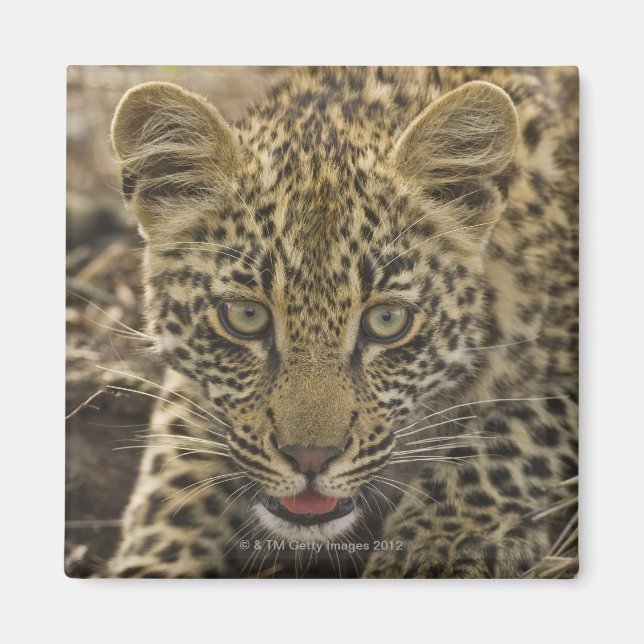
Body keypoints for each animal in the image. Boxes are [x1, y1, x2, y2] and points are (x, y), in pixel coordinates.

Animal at [105, 66, 578, 578]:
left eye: (387, 319)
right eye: (246, 316)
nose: (310, 458)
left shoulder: (560, 378)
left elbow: (505, 442)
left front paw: (433, 551)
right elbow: (174, 475)